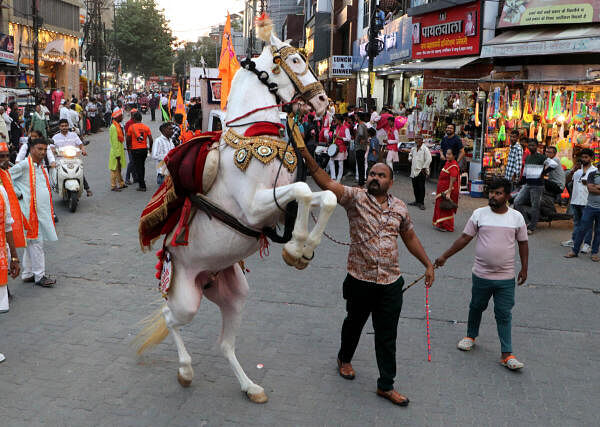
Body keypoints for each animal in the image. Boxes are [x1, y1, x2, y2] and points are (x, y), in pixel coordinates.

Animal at [134, 31, 336, 402]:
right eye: (296, 61)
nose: (323, 103)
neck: (257, 137)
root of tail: (206, 279)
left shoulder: (279, 205)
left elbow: (323, 197)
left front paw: (302, 250)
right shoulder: (256, 207)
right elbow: (304, 191)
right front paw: (295, 248)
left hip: (235, 295)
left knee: (225, 344)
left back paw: (250, 386)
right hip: (185, 299)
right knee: (170, 317)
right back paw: (185, 370)